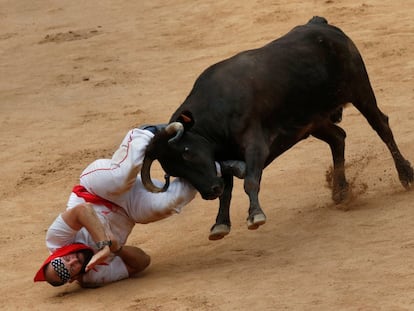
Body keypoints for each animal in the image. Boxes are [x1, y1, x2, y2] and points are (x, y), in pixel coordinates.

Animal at [141, 16, 412, 241]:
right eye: (172, 170)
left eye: (186, 152)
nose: (210, 191)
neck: (214, 112)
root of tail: (320, 24)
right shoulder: (222, 157)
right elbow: (228, 191)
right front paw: (220, 224)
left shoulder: (254, 145)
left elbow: (250, 181)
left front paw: (255, 216)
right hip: (312, 121)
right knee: (338, 138)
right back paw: (341, 191)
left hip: (360, 90)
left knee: (382, 127)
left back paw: (406, 175)